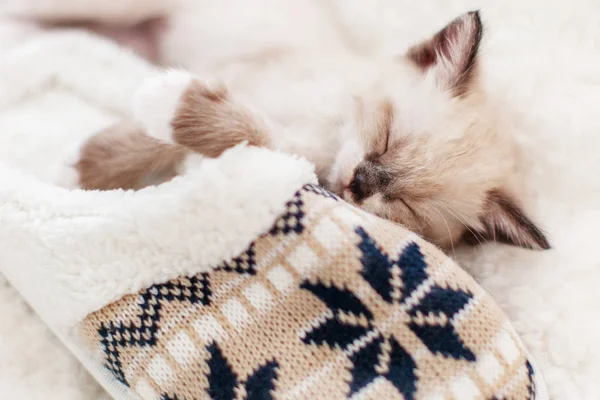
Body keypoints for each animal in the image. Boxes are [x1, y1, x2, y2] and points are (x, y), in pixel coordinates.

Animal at [77, 10, 552, 252]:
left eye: (406, 206)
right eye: (386, 136)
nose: (360, 183)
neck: (331, 135)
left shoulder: (293, 155)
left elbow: (248, 132)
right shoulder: (235, 74)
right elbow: (155, 139)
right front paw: (91, 170)